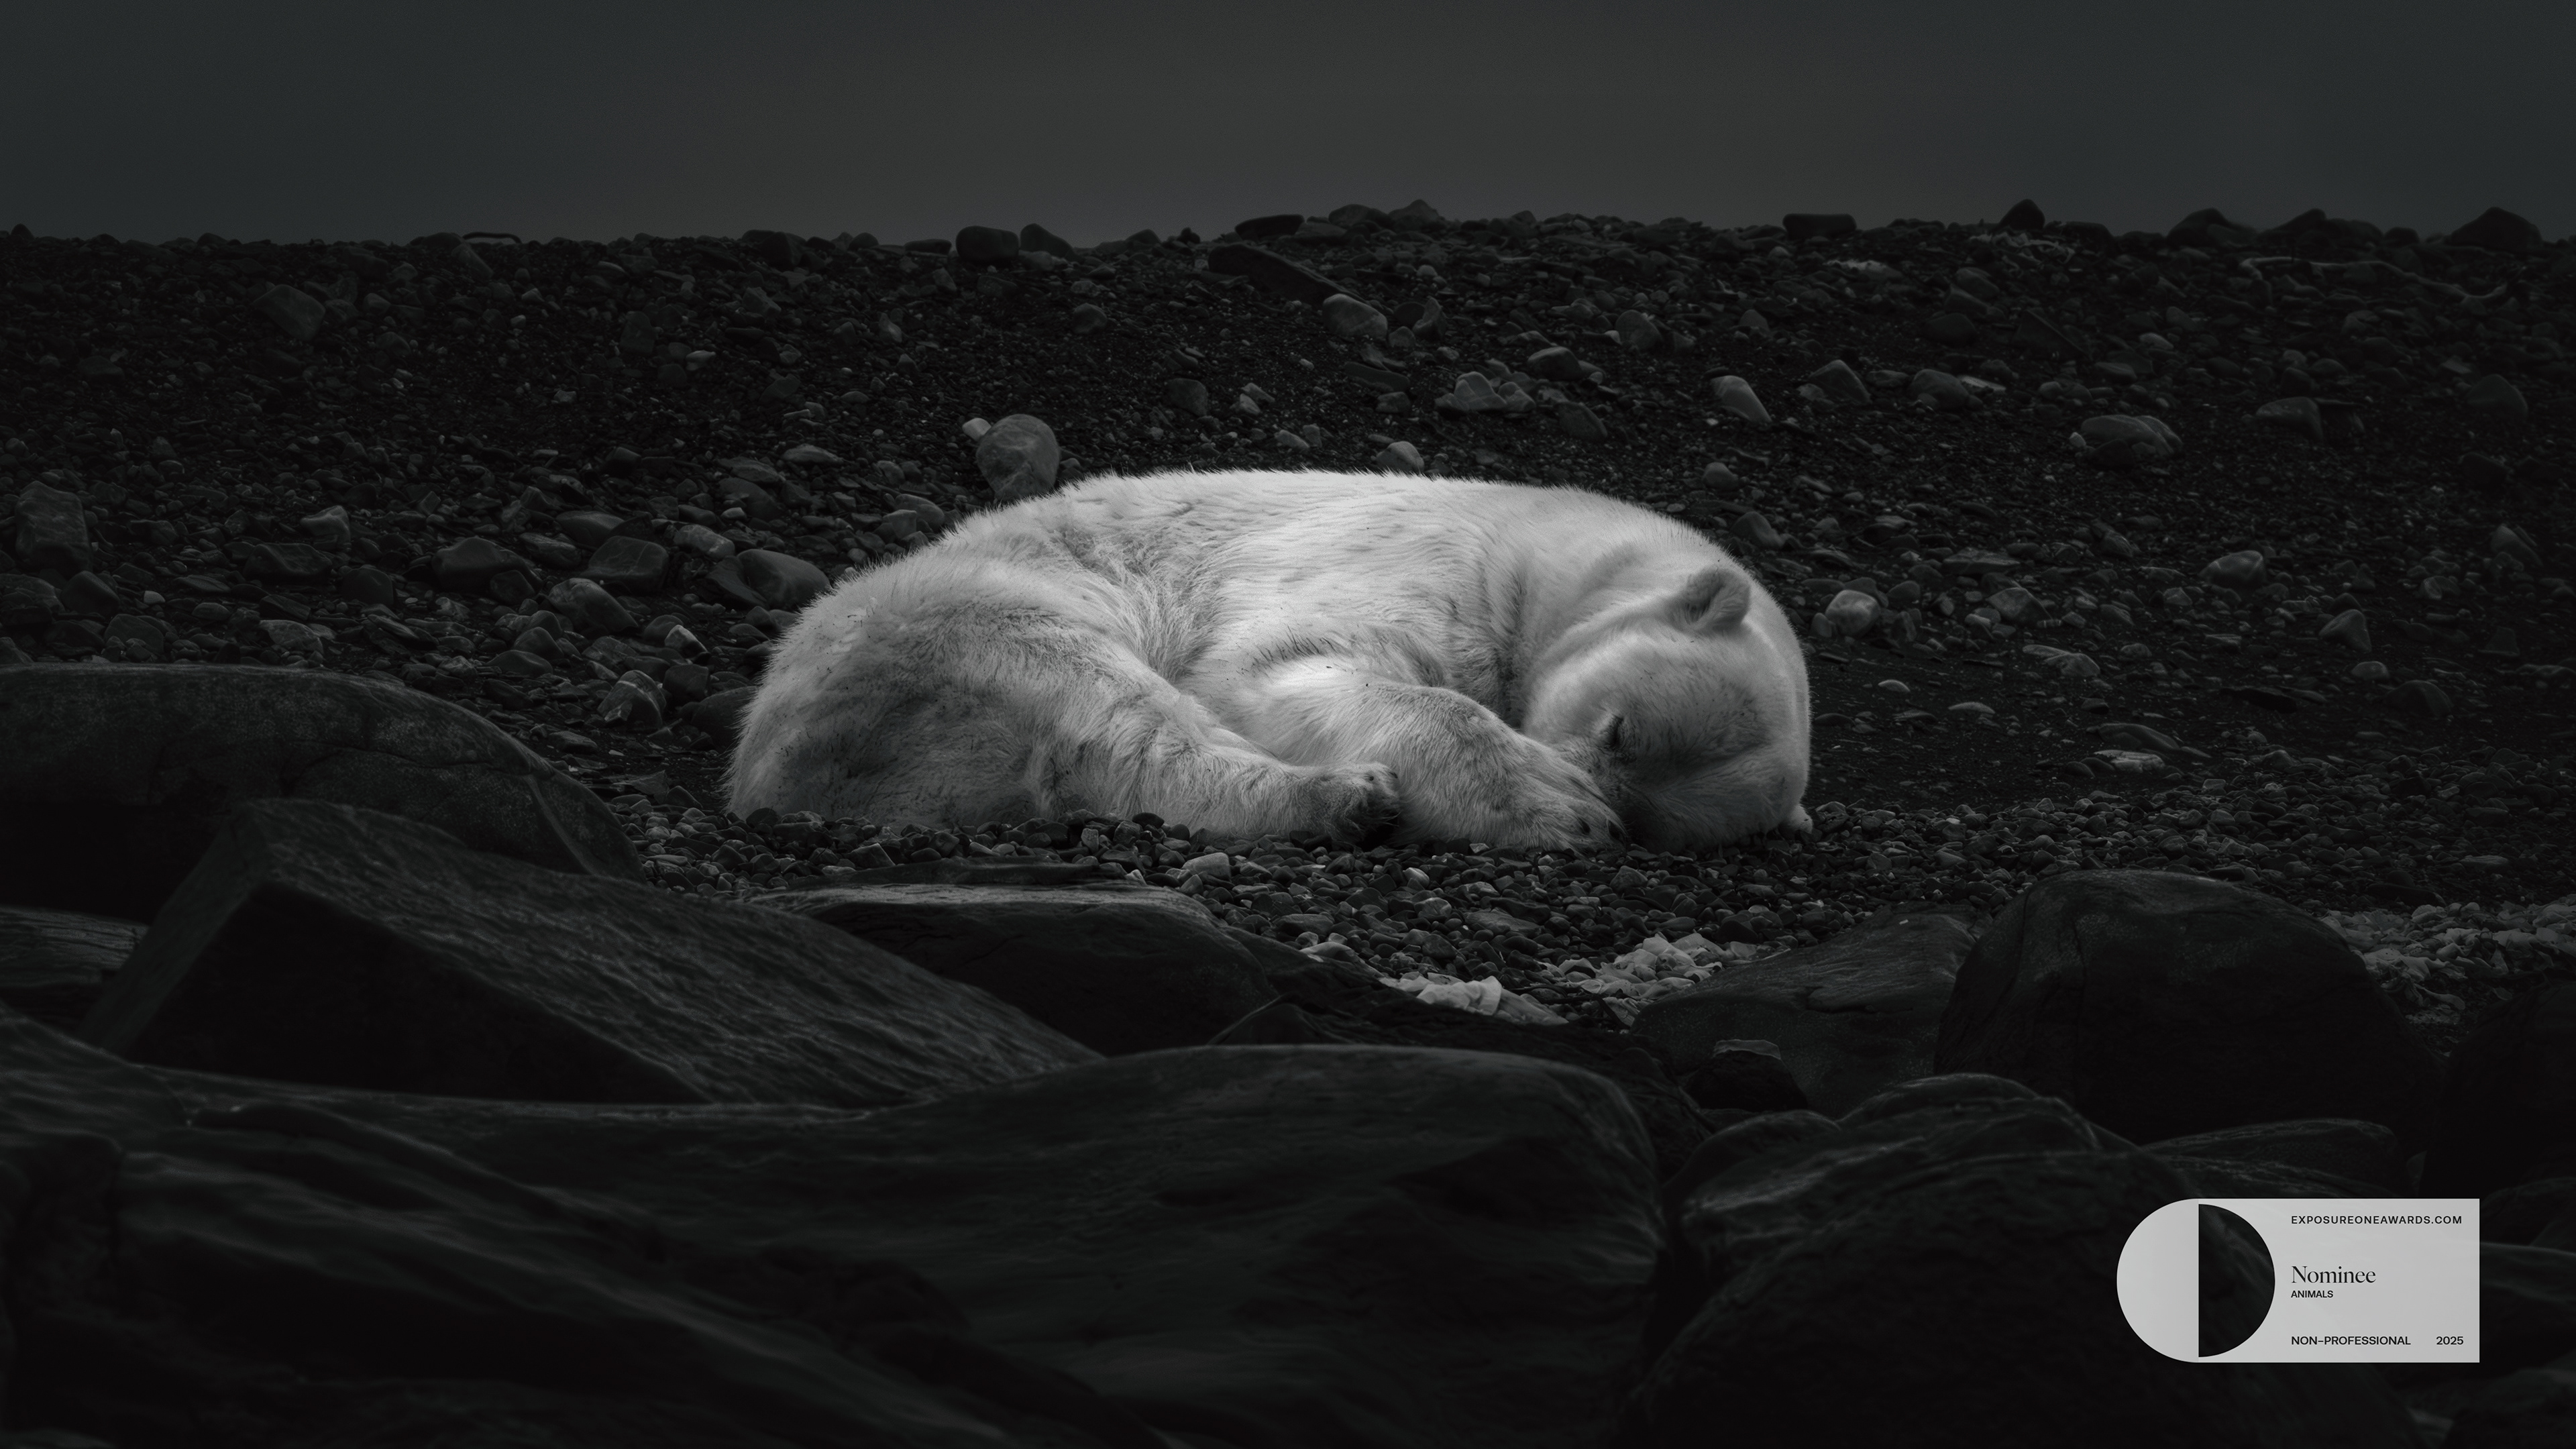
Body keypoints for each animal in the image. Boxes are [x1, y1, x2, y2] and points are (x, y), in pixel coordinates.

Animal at [726, 468, 1810, 850]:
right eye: (1617, 728)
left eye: (1662, 823)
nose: (1609, 805)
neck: (1547, 554)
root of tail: (759, 757)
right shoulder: (1424, 559)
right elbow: (1276, 664)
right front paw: (1553, 803)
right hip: (966, 619)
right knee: (1118, 713)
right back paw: (1345, 795)